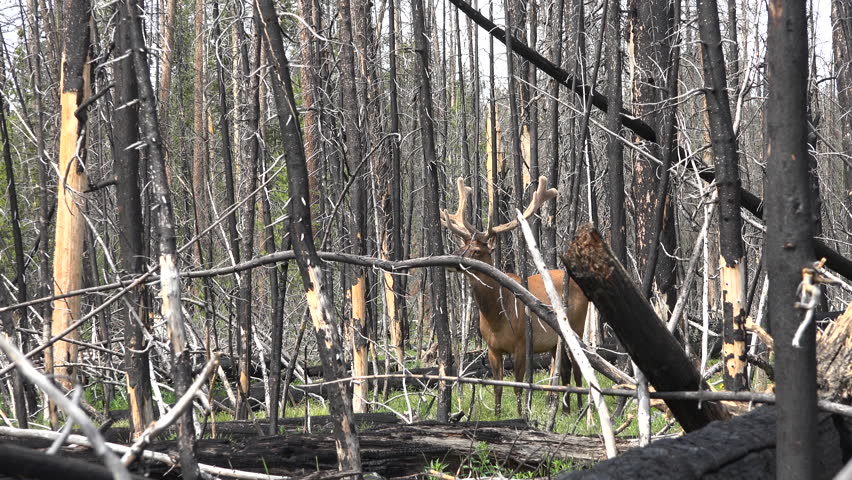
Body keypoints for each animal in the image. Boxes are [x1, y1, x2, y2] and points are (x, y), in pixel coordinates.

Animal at [441, 176, 589, 416]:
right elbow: (499, 386)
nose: (451, 260)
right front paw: (498, 414)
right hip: (554, 341)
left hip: (577, 325)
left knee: (577, 367)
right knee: (565, 368)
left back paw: (580, 408)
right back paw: (565, 410)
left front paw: (522, 415)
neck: (497, 316)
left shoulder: (522, 342)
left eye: (477, 251)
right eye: (462, 246)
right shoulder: (492, 347)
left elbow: (519, 385)